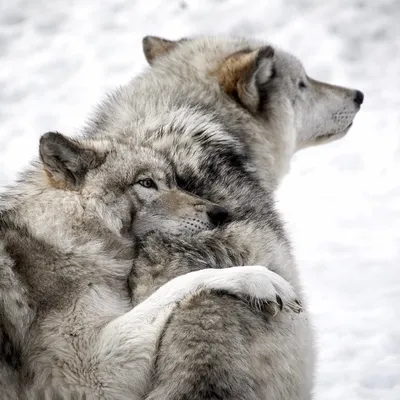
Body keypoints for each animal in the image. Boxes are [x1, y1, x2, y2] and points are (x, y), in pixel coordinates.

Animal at [0, 133, 300, 398]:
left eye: (174, 181)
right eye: (146, 183)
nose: (220, 213)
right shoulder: (90, 373)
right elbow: (182, 282)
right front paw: (259, 279)